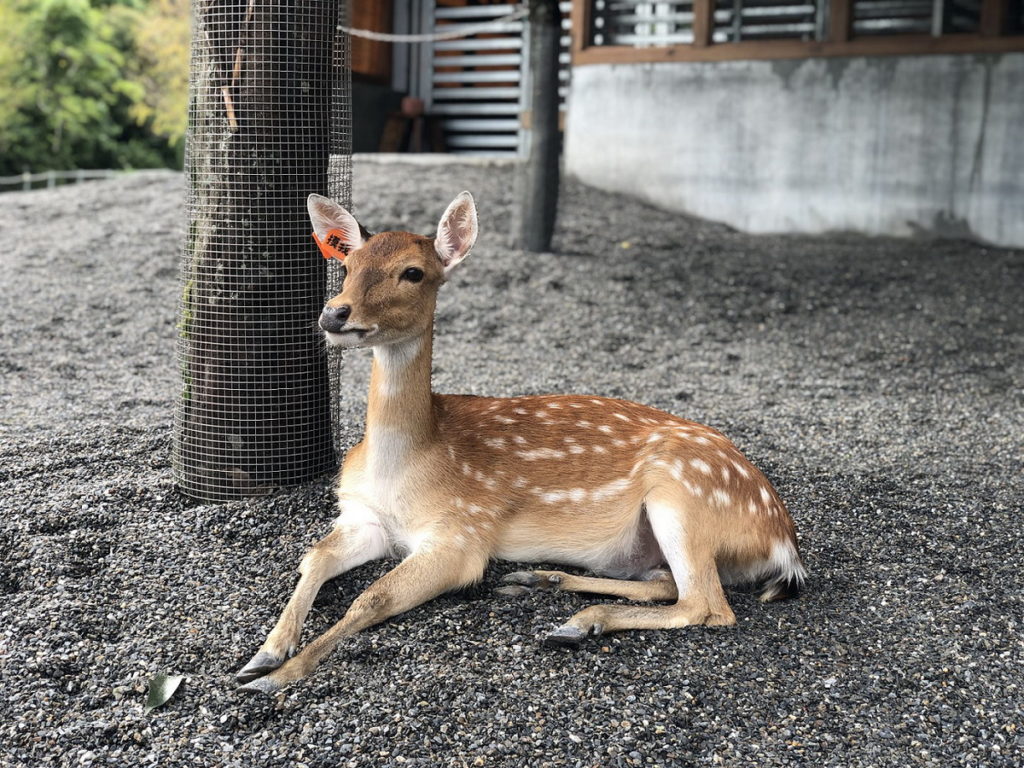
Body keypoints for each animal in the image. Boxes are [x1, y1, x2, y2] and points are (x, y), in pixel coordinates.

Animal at [235, 191, 806, 694]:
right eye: (347, 266)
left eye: (413, 272)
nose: (335, 313)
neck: (404, 466)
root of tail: (785, 542)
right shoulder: (363, 516)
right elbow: (313, 558)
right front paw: (264, 652)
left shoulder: (463, 532)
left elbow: (371, 600)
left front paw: (276, 677)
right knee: (669, 584)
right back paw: (540, 583)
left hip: (684, 496)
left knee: (706, 605)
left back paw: (578, 622)